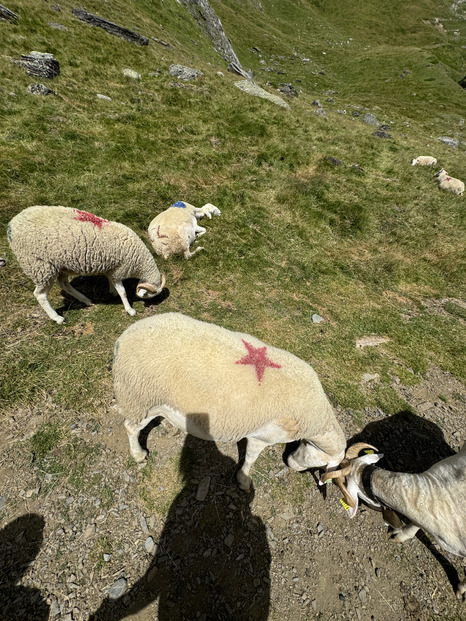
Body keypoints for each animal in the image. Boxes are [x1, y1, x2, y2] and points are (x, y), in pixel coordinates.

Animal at [8, 206, 167, 326]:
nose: (153, 304)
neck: (140, 262)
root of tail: (11, 225)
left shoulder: (112, 269)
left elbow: (111, 281)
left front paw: (112, 291)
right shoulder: (119, 270)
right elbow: (123, 292)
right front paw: (130, 310)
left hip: (60, 266)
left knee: (64, 284)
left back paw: (85, 300)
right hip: (39, 266)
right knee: (40, 295)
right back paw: (57, 318)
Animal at [113, 312, 346, 492]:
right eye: (321, 463)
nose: (289, 463)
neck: (316, 418)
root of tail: (123, 339)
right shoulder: (261, 437)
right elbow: (251, 459)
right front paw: (243, 481)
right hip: (140, 398)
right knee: (131, 427)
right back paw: (139, 455)